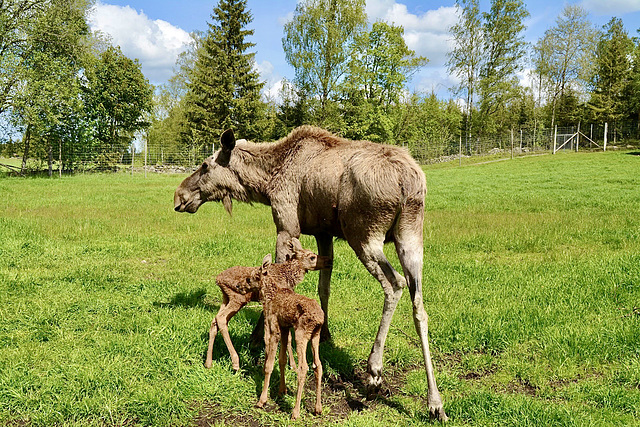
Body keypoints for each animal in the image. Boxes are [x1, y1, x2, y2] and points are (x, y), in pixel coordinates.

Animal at [172, 126, 448, 422]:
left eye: (205, 165)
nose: (179, 197)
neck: (266, 182)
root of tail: (409, 182)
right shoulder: (323, 233)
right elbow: (323, 287)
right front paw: (324, 332)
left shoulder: (287, 226)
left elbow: (276, 282)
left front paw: (256, 339)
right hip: (411, 235)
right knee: (419, 303)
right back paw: (435, 402)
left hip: (363, 234)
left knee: (394, 284)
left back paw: (374, 373)